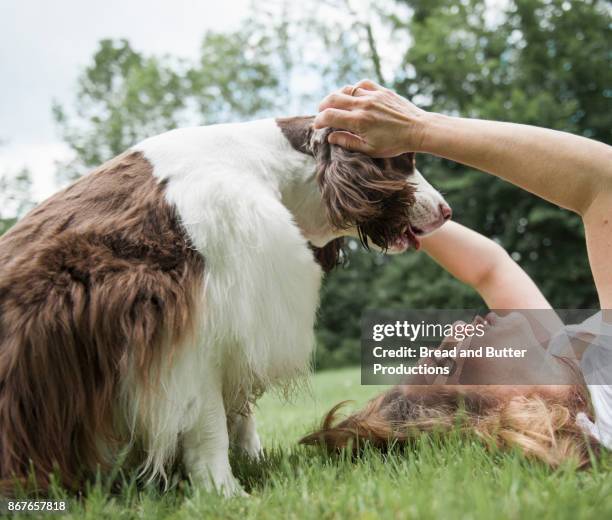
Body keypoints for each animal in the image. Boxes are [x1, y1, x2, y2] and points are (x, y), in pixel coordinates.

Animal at [0, 116, 450, 494]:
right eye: (404, 159)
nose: (446, 211)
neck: (265, 168)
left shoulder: (240, 318)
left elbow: (241, 410)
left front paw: (254, 462)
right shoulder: (189, 335)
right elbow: (209, 424)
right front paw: (226, 493)